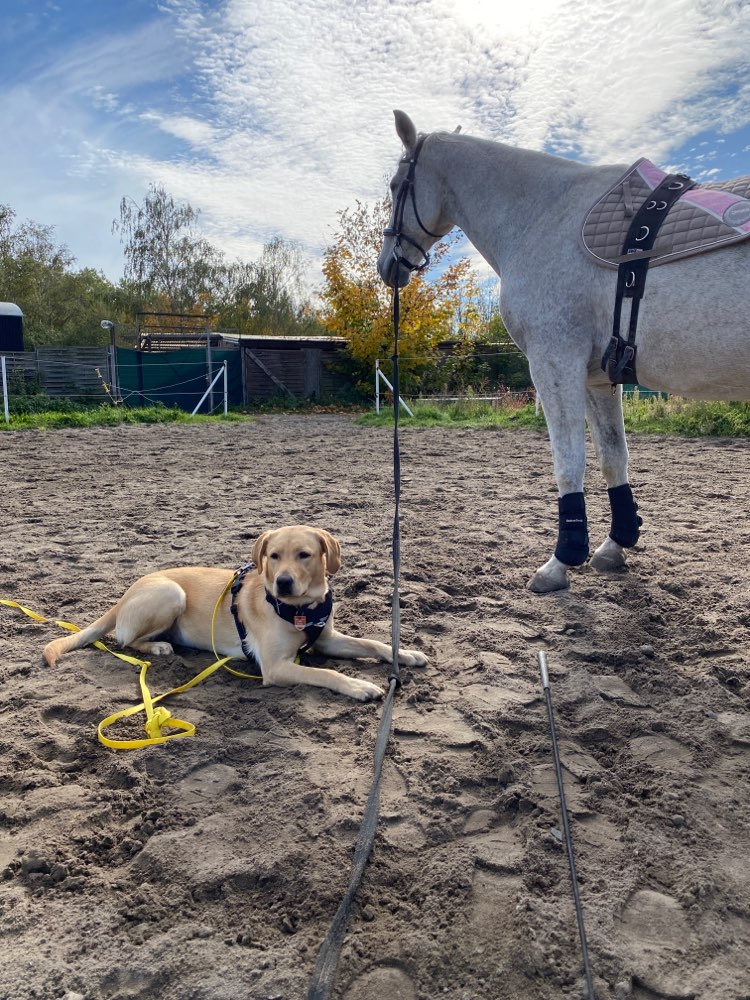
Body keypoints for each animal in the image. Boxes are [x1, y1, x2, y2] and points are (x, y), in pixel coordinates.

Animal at [42, 524, 428, 704]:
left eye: (304, 555)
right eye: (273, 556)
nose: (283, 582)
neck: (301, 609)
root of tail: (123, 597)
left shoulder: (327, 639)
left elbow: (373, 644)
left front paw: (405, 653)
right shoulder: (275, 667)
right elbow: (327, 673)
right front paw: (359, 685)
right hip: (171, 593)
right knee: (124, 640)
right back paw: (157, 647)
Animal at [378, 111, 750, 592]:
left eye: (394, 185)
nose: (388, 265)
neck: (544, 216)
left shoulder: (554, 361)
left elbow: (568, 462)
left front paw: (562, 559)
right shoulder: (598, 376)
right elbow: (613, 457)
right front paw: (615, 544)